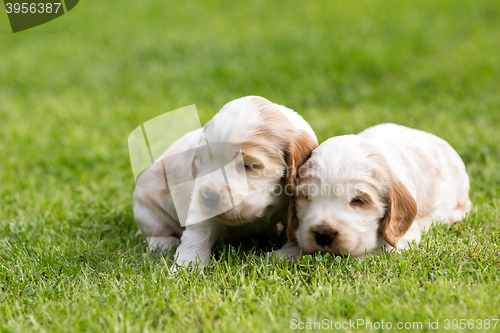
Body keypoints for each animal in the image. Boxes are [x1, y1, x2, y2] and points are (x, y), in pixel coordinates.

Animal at [133, 95, 318, 268]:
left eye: (246, 165)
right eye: (203, 162)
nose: (209, 198)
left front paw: (285, 254)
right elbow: (197, 235)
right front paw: (185, 267)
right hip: (147, 209)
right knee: (153, 231)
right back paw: (162, 243)